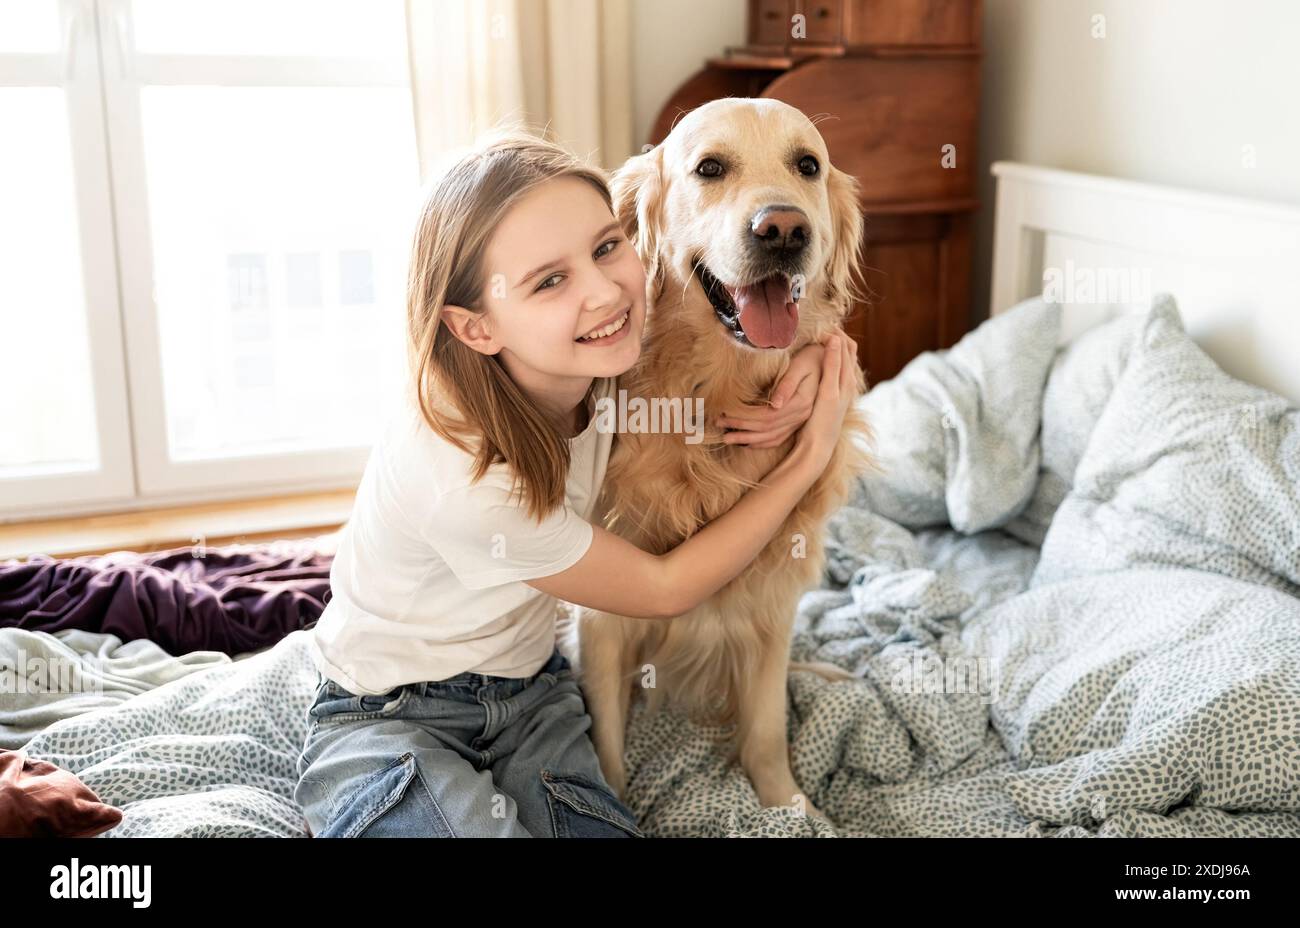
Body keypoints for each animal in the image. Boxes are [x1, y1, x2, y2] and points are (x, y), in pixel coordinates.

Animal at [579, 95, 873, 816]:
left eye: (807, 166)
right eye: (709, 168)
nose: (784, 230)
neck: (713, 400)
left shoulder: (772, 606)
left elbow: (766, 728)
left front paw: (789, 808)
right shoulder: (603, 623)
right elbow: (606, 740)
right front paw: (616, 800)